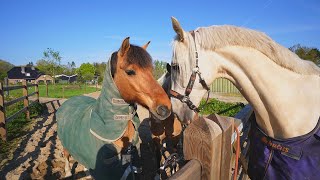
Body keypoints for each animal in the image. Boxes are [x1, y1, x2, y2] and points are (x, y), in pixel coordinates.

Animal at [57, 37, 172, 179]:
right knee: (66, 154)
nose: (165, 108)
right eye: (130, 71)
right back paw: (68, 172)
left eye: (151, 70)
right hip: (64, 143)